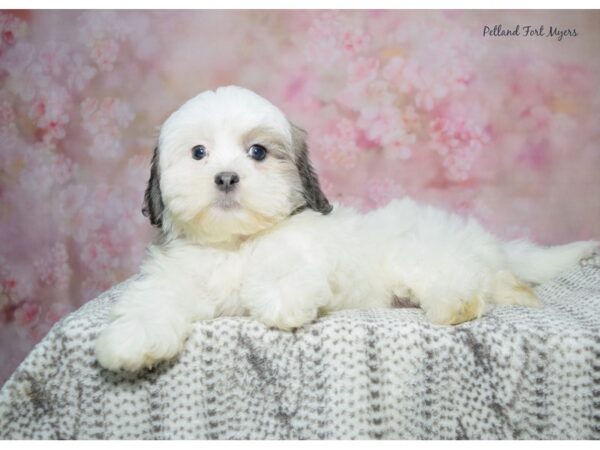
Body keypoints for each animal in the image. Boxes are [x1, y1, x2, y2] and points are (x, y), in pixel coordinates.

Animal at [96, 85, 596, 372]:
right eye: (198, 153)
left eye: (257, 152)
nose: (225, 178)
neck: (237, 244)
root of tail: (482, 241)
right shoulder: (176, 275)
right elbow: (153, 300)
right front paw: (132, 339)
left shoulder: (306, 252)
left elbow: (287, 271)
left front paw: (281, 300)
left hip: (422, 255)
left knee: (469, 280)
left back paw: (462, 304)